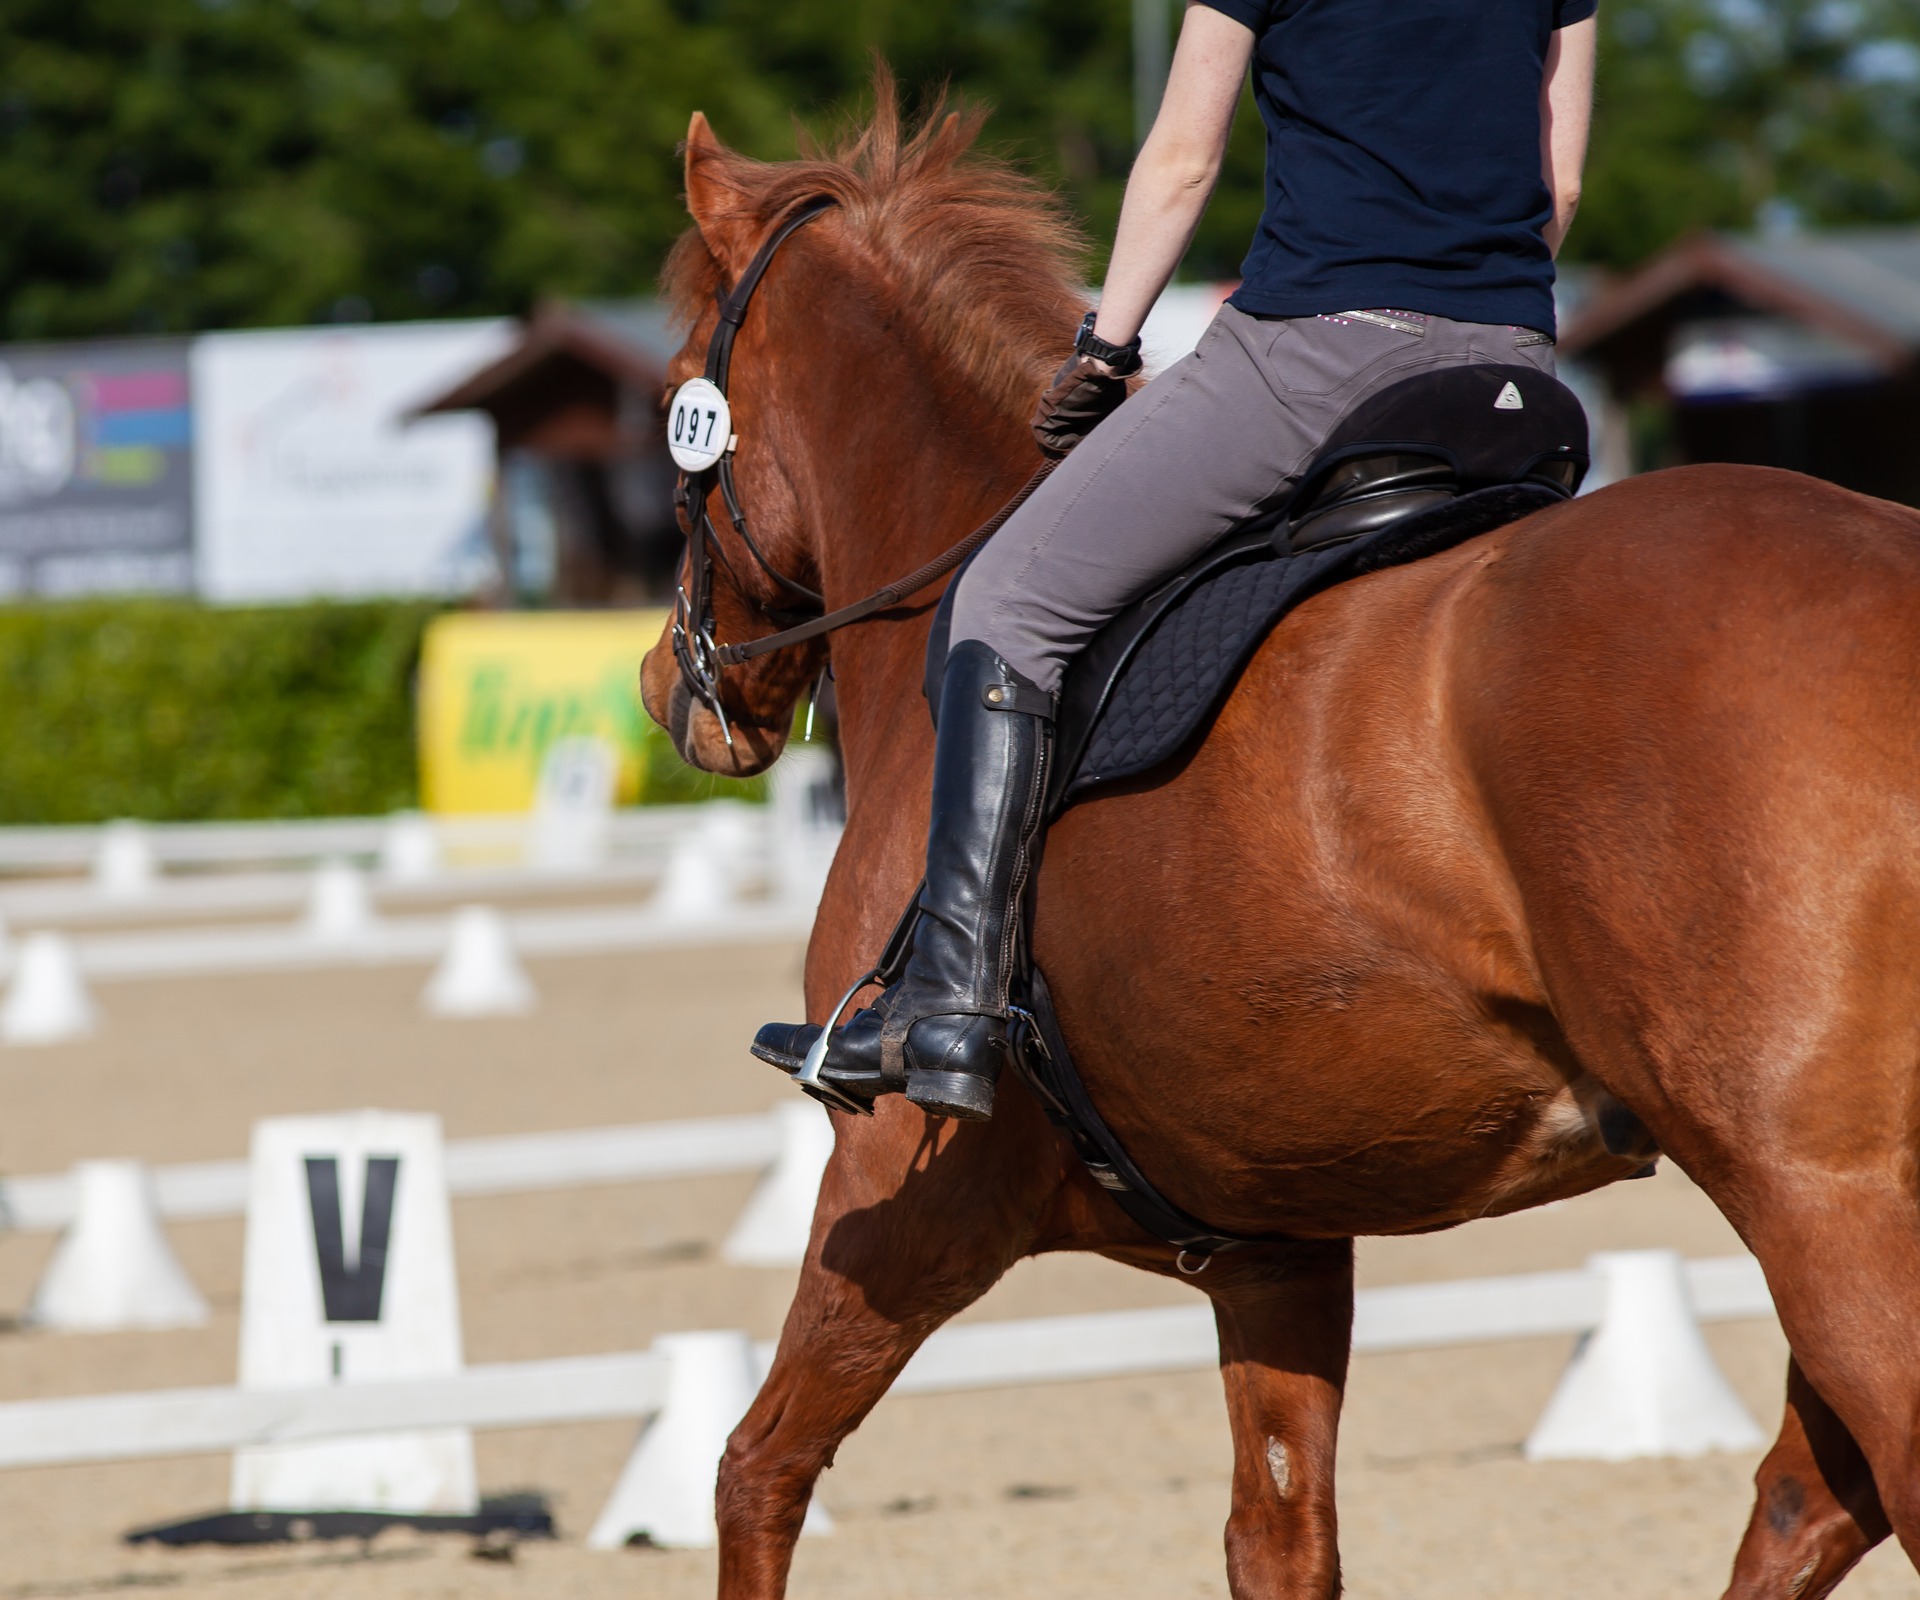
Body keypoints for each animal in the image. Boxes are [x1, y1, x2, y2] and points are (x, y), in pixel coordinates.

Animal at [637, 93, 1920, 1598]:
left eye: (677, 393)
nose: (671, 688)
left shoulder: (905, 1185)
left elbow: (754, 1469)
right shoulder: (1274, 1245)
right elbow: (1280, 1540)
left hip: (1818, 1196)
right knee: (1807, 1497)